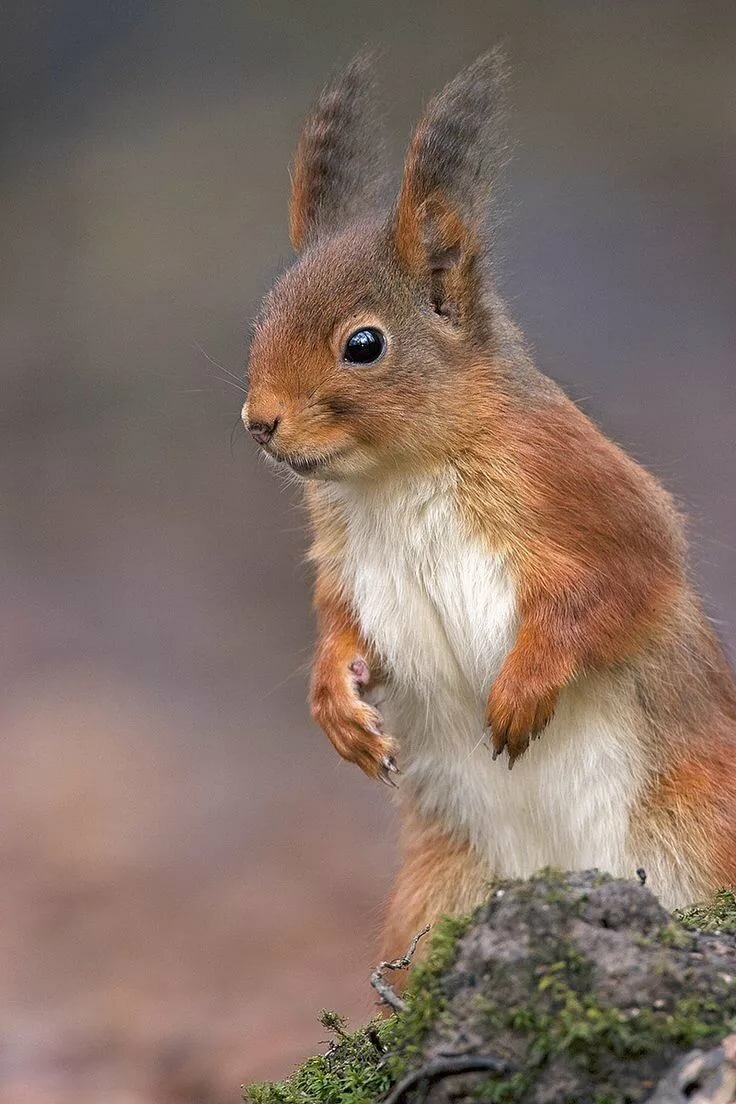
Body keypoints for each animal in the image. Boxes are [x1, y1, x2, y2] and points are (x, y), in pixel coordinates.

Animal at [243, 51, 736, 960]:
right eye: (263, 315)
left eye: (363, 344)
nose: (259, 422)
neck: (397, 475)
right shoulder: (343, 552)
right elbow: (340, 625)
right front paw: (338, 707)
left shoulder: (586, 491)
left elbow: (623, 585)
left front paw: (522, 690)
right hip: (437, 894)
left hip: (700, 823)